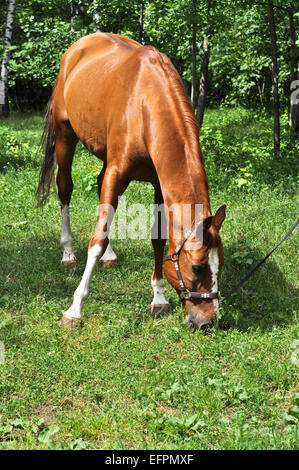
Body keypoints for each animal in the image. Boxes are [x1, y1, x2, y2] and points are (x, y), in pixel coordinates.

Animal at [36, 33, 226, 330]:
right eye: (197, 266)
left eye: (222, 264)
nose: (207, 322)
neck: (146, 104)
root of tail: (77, 48)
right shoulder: (117, 171)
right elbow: (97, 240)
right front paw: (75, 308)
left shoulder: (159, 184)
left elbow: (158, 238)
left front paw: (158, 298)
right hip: (65, 134)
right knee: (64, 188)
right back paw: (67, 253)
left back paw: (110, 256)